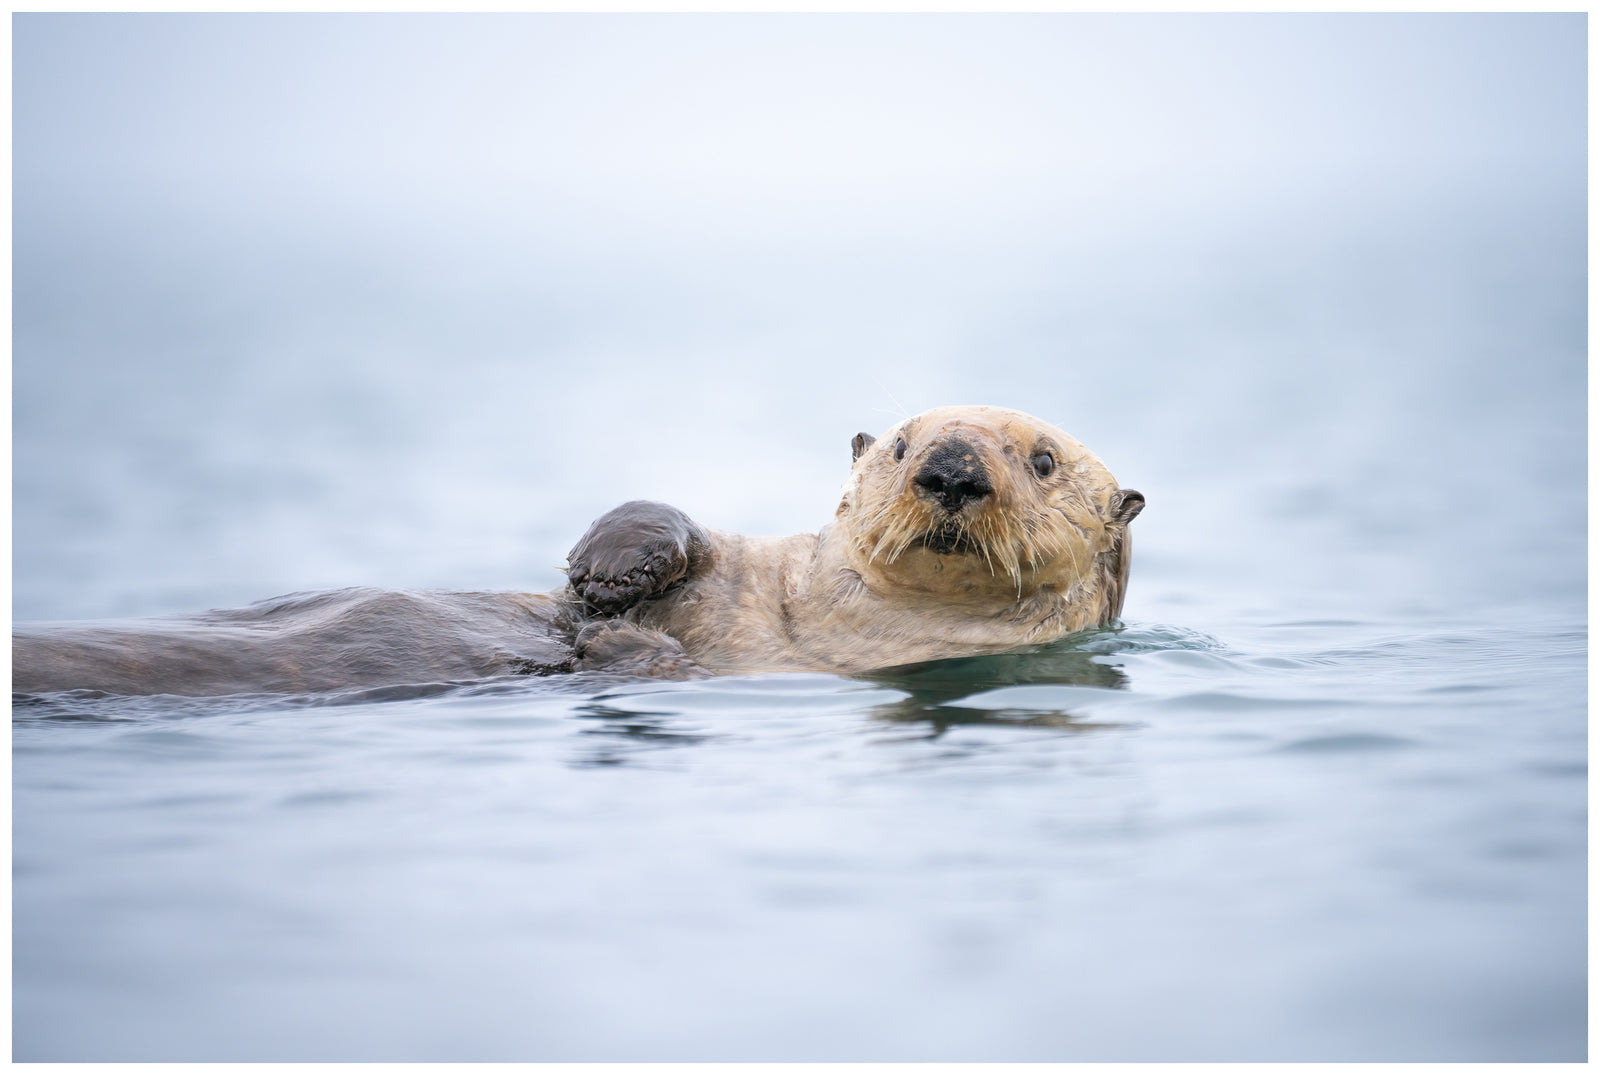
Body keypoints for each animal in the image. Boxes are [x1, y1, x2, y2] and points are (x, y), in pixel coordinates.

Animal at [13, 406, 1142, 696]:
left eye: (1042, 460)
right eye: (904, 442)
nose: (950, 467)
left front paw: (612, 630)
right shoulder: (748, 560)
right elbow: (671, 524)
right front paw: (618, 566)